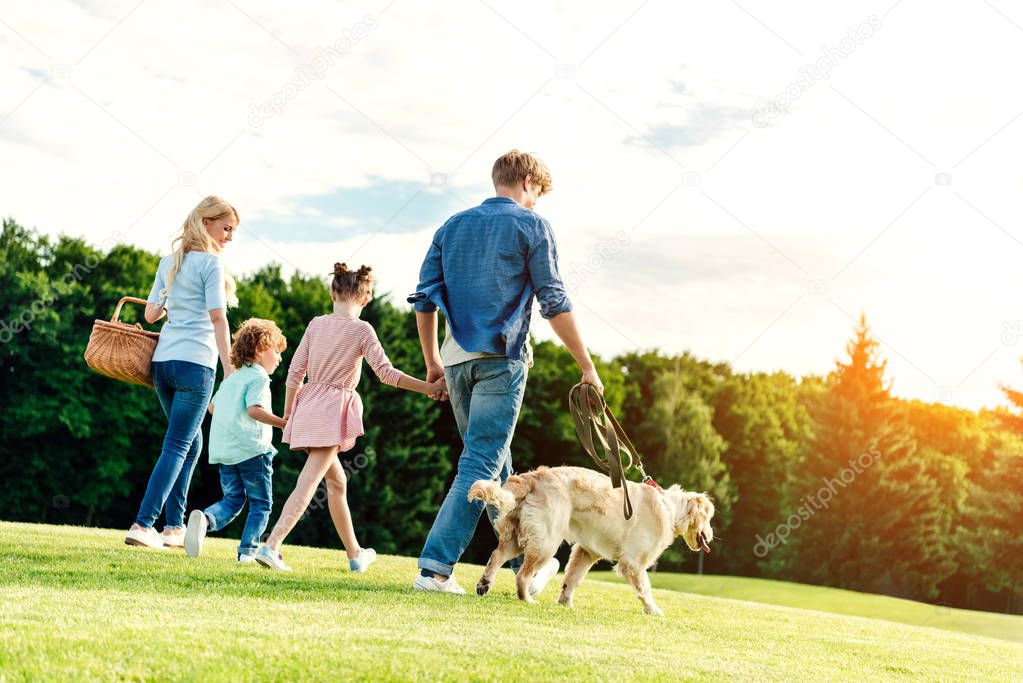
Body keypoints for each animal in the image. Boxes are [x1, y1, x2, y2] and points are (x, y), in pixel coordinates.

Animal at [468, 466, 716, 617]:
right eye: (710, 518)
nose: (711, 534)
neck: (669, 509)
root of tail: (534, 477)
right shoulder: (633, 563)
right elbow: (645, 588)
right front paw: (653, 609)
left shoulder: (586, 552)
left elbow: (572, 580)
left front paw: (566, 604)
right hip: (546, 542)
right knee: (522, 575)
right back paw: (527, 599)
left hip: (518, 537)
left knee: (496, 556)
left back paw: (484, 584)